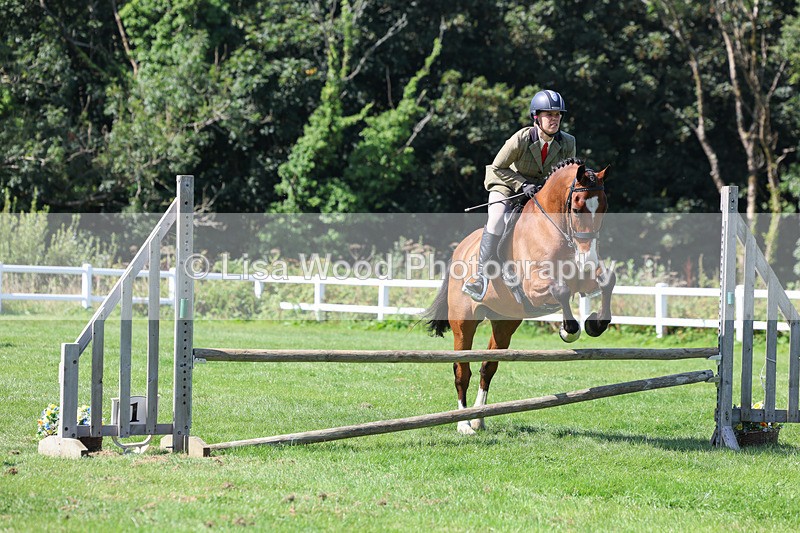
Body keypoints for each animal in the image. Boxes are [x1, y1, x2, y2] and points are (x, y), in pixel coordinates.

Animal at [424, 158, 615, 435]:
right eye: (577, 208)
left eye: (604, 208)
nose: (587, 258)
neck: (554, 228)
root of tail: (460, 248)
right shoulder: (533, 287)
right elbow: (561, 290)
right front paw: (569, 331)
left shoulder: (581, 278)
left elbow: (607, 281)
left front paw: (595, 324)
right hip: (463, 321)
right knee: (462, 369)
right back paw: (463, 424)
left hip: (504, 322)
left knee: (487, 368)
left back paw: (479, 418)